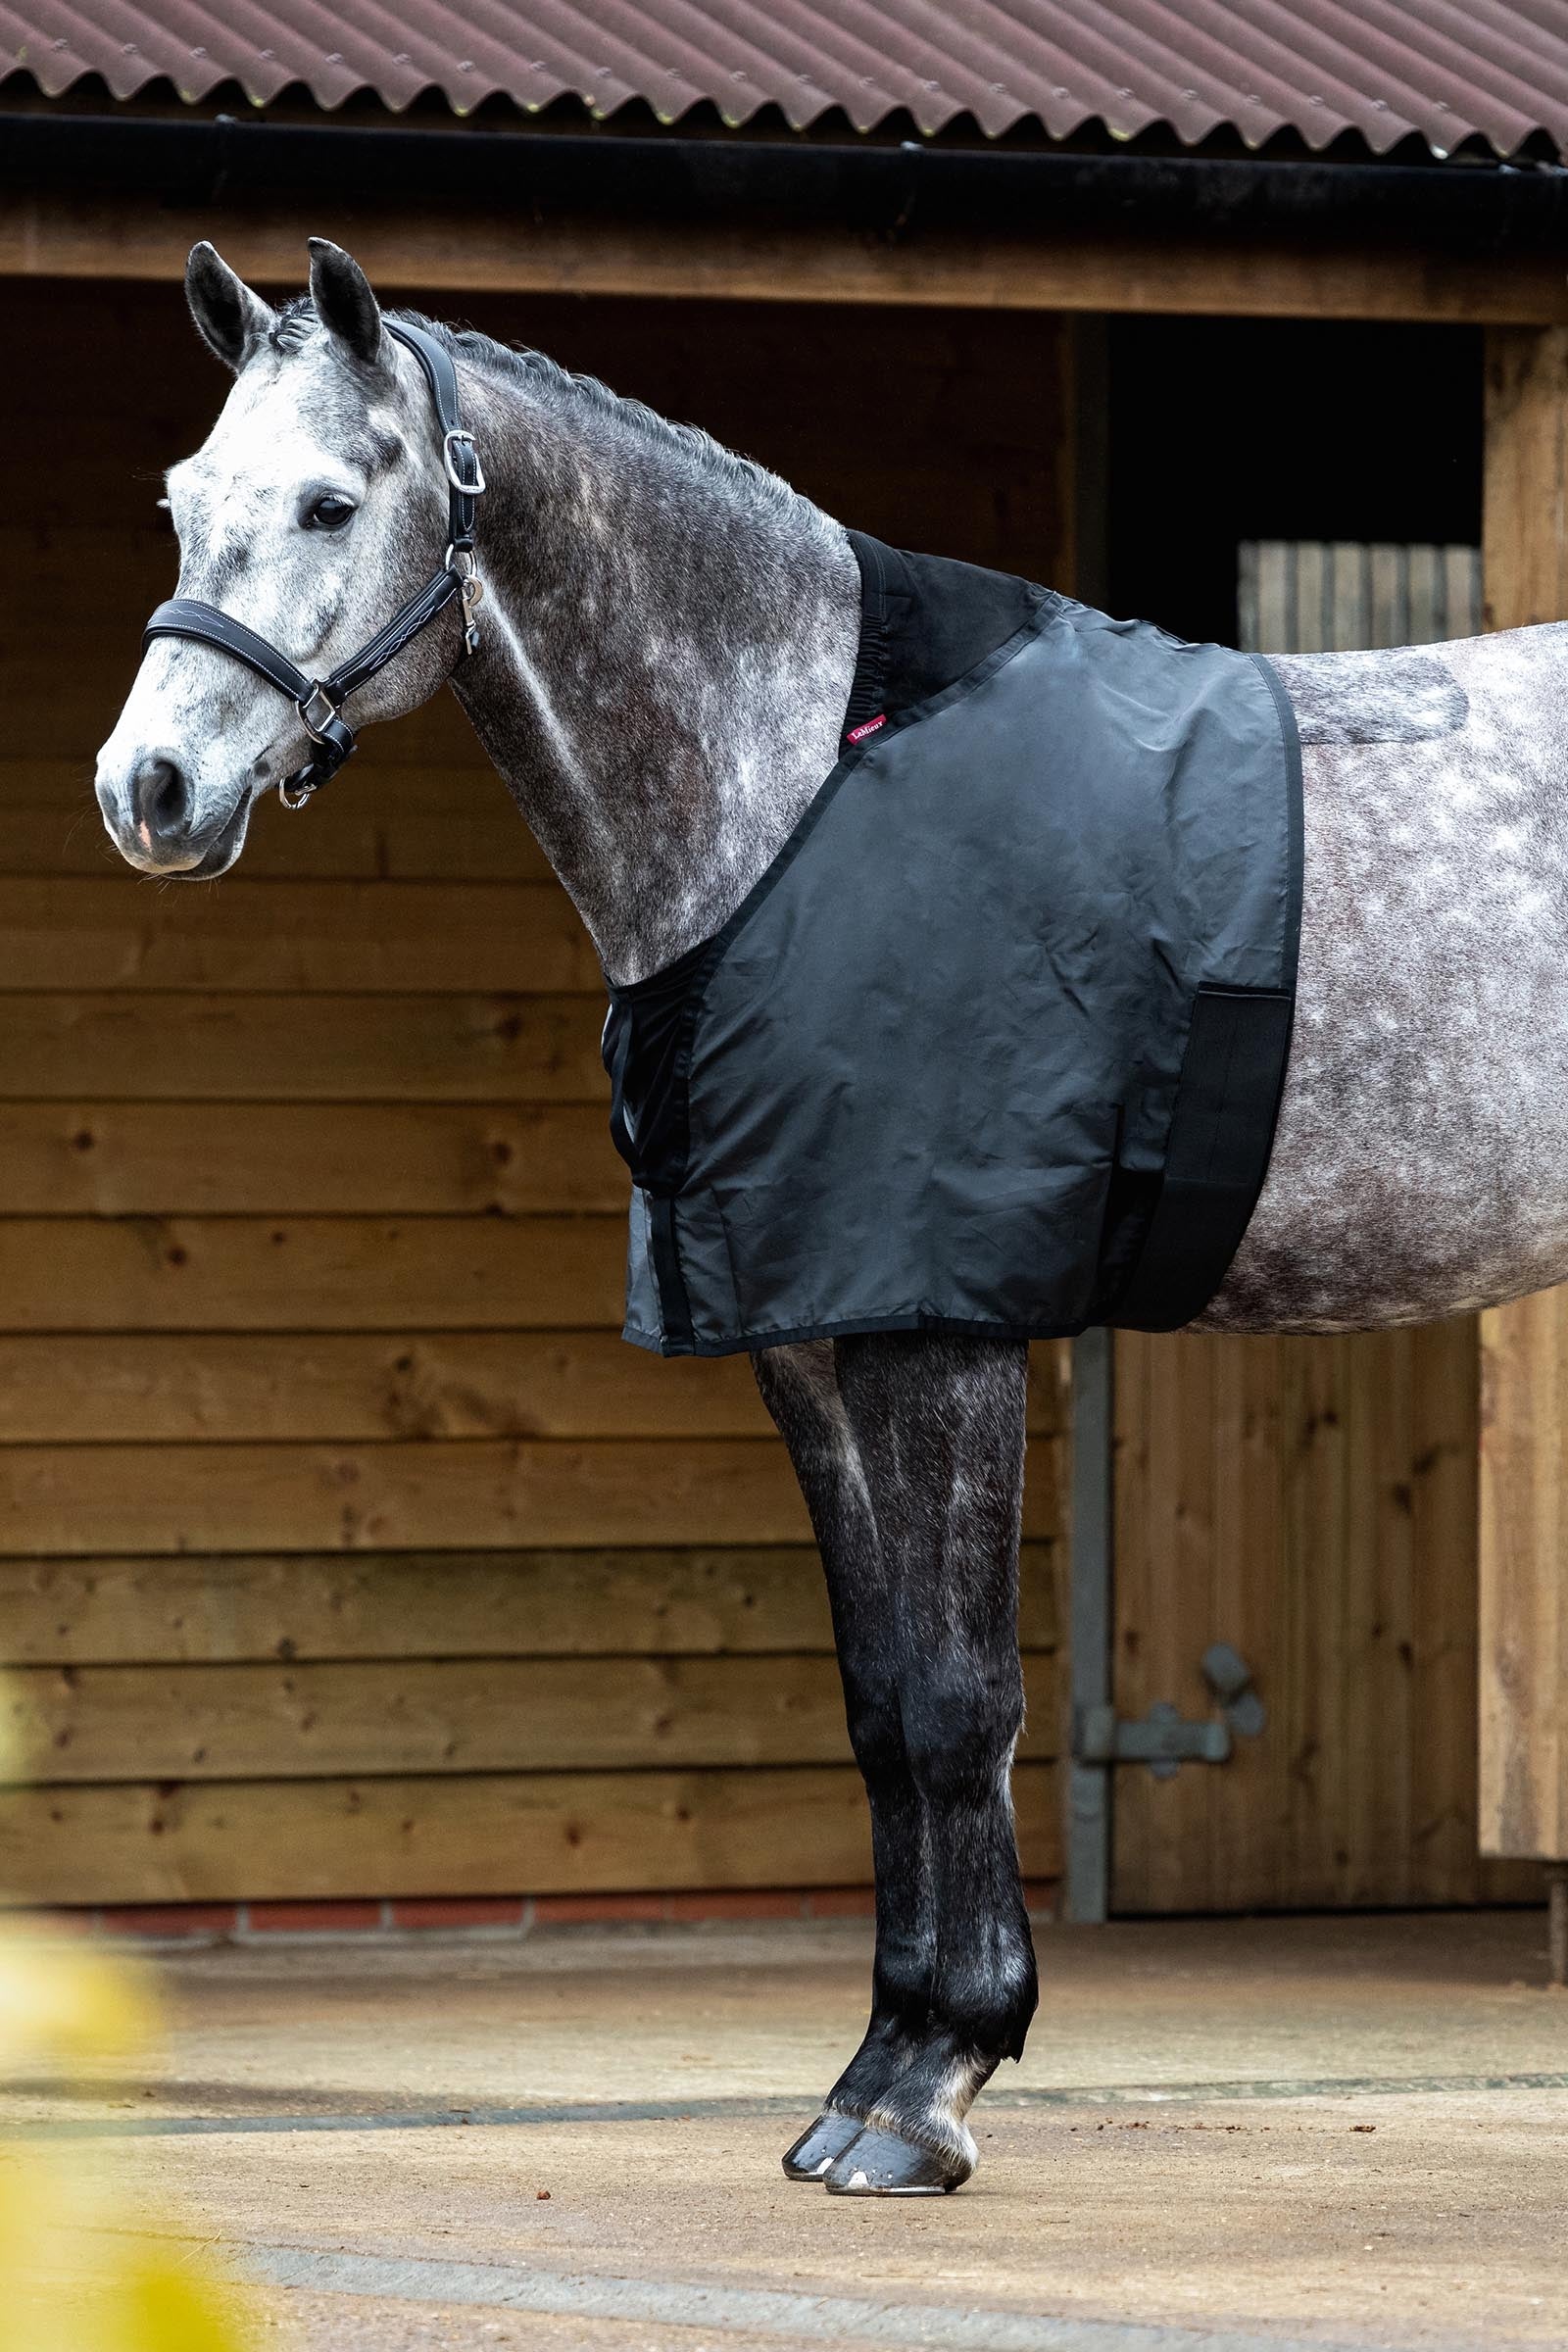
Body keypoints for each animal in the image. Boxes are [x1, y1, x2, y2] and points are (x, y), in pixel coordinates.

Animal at [96, 240, 1568, 2197]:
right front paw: (873, 2072)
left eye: (335, 501)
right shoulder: (801, 1340)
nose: (148, 796)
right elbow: (880, 1706)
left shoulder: (944, 1325)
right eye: (182, 500)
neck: (800, 784)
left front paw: (934, 2092)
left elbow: (959, 1701)